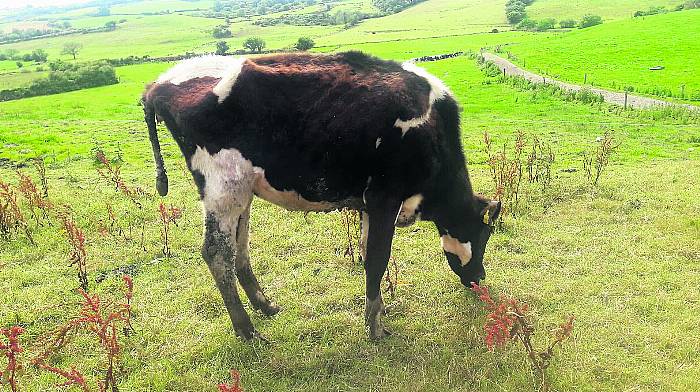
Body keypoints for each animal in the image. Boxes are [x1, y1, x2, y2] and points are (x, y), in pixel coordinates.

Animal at [142, 52, 500, 340]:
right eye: (484, 236)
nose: (480, 278)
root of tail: (158, 84)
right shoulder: (385, 196)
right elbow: (377, 258)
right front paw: (375, 329)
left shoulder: (369, 204)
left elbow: (368, 255)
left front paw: (377, 312)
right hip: (223, 186)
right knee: (217, 254)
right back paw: (247, 330)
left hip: (241, 191)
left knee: (239, 250)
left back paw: (265, 305)